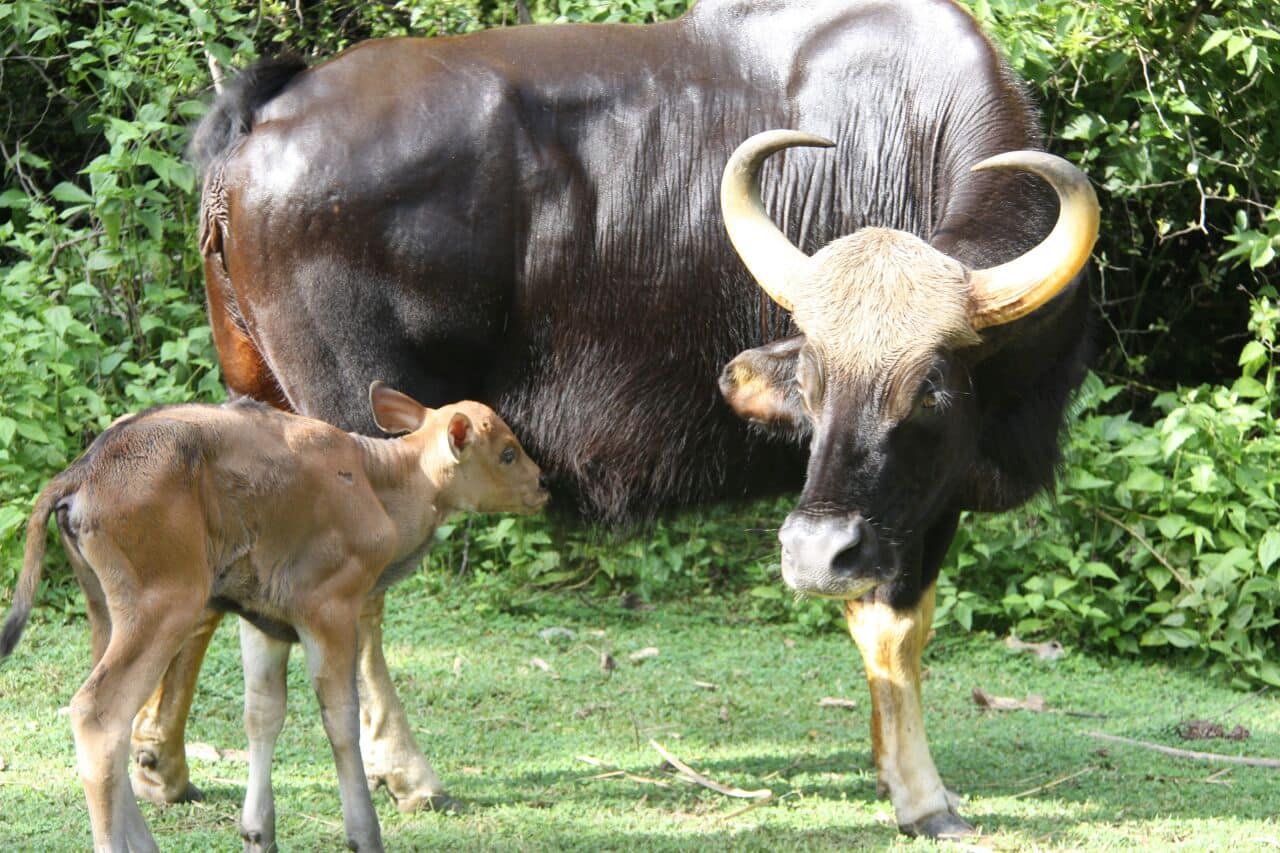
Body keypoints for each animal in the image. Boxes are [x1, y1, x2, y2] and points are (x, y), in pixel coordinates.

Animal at [0, 384, 545, 850]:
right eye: (508, 452)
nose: (542, 485)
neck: (380, 483)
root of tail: (80, 474)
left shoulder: (262, 622)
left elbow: (262, 715)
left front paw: (258, 833)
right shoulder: (330, 611)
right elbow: (341, 720)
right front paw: (364, 833)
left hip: (106, 613)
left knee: (113, 726)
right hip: (163, 609)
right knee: (97, 715)